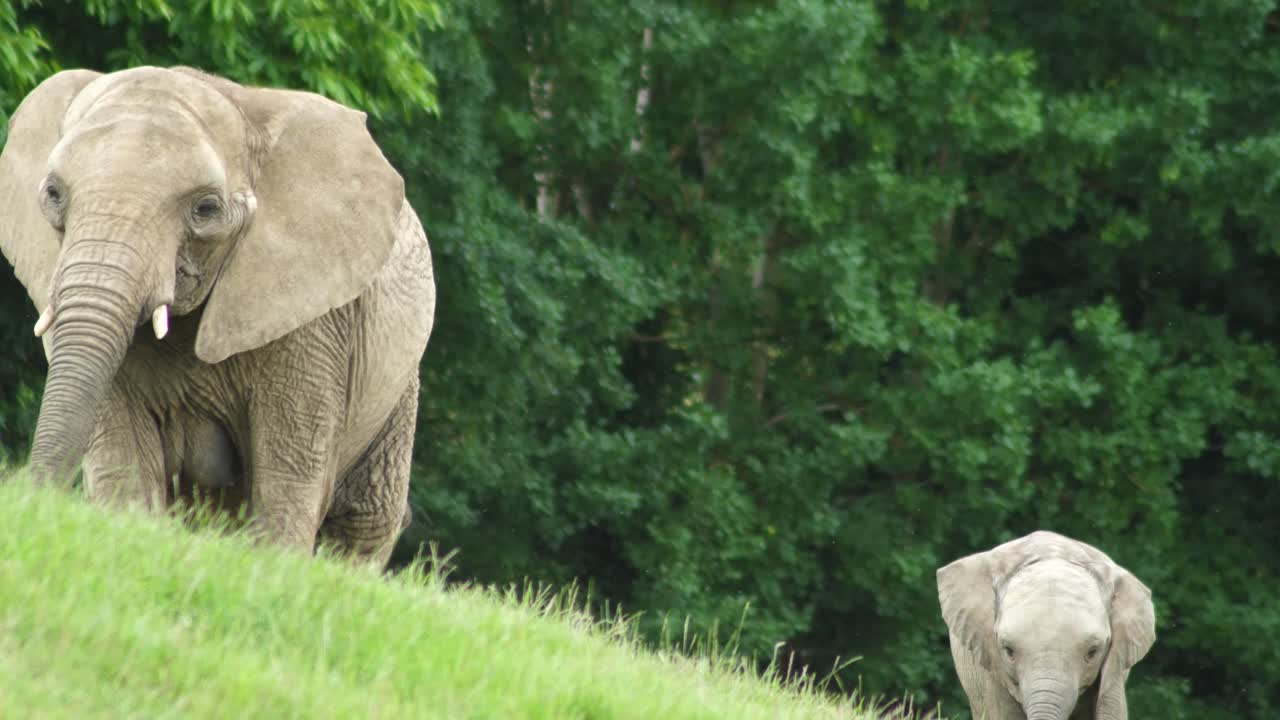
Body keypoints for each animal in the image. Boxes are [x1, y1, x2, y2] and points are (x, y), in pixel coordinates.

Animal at [0, 66, 435, 566]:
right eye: (53, 194)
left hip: (398, 387)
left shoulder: (315, 324)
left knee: (364, 522)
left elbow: (287, 477)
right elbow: (125, 459)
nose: (32, 498)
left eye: (206, 209)